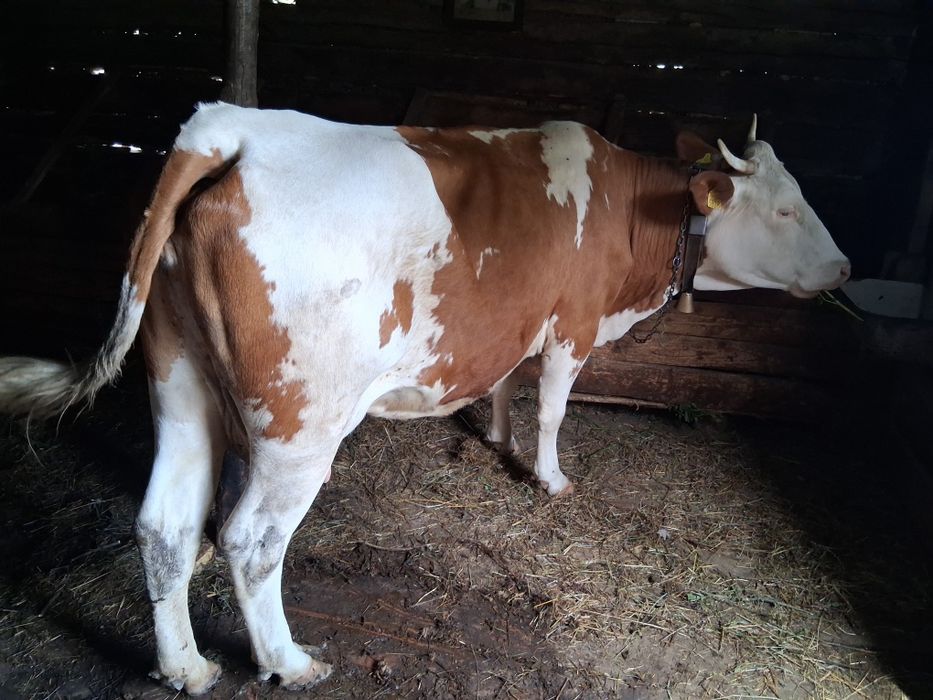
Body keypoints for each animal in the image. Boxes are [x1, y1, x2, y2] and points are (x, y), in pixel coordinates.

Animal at [0, 104, 849, 693]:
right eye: (784, 209)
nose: (843, 268)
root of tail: (234, 127)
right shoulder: (572, 324)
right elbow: (553, 406)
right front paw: (549, 478)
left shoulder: (515, 319)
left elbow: (505, 384)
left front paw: (498, 442)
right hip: (300, 425)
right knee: (250, 538)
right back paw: (287, 661)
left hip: (179, 386)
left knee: (164, 526)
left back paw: (186, 668)